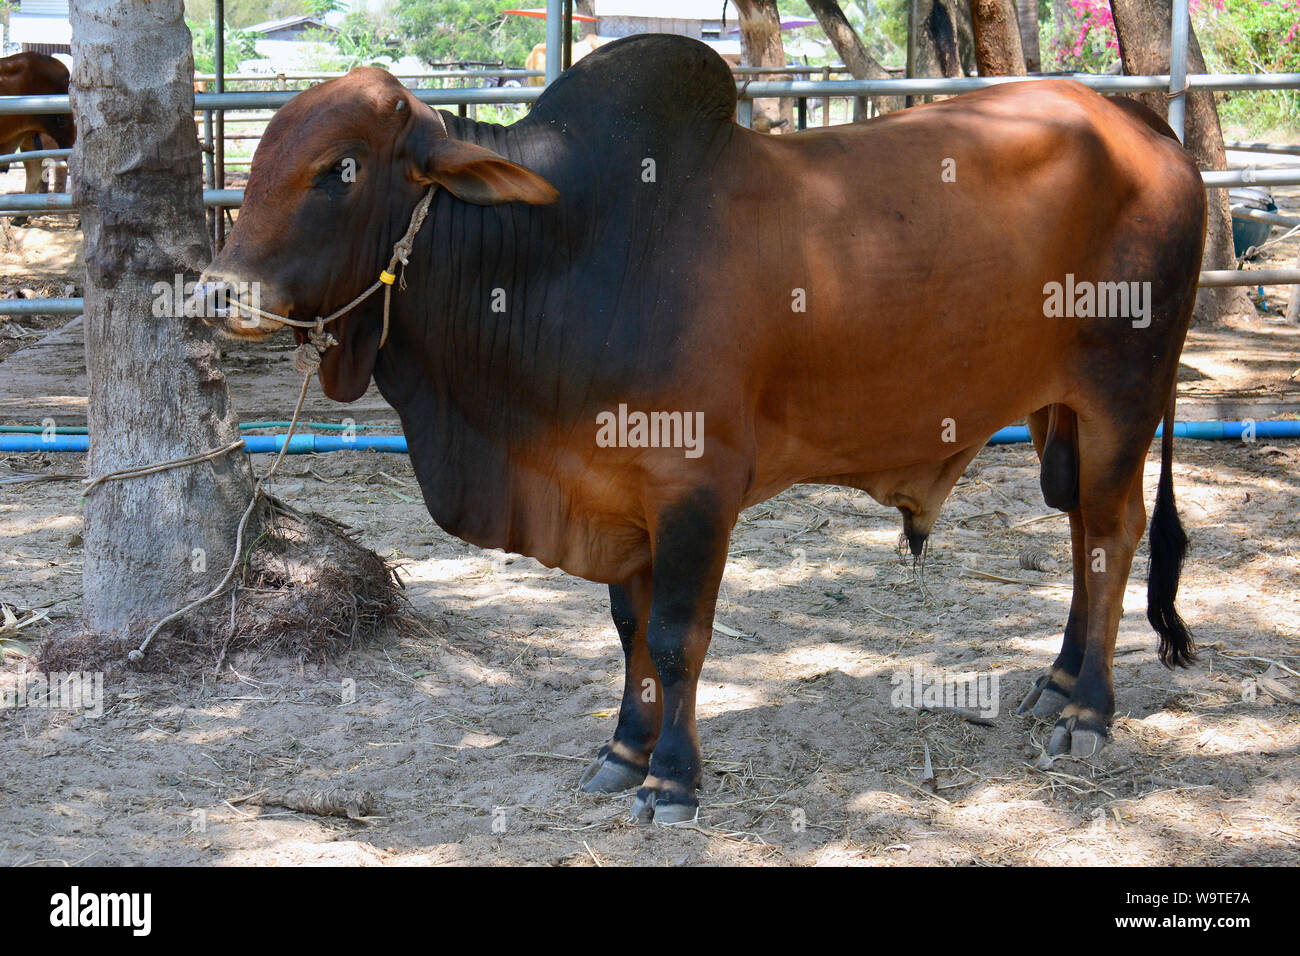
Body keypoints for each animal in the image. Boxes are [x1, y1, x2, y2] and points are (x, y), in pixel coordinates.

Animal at [202, 31, 1206, 822]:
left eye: (340, 168)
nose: (216, 291)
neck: (564, 250)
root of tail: (1143, 124)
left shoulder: (696, 486)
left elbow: (680, 634)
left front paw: (673, 782)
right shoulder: (616, 492)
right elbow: (630, 628)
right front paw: (622, 754)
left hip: (1123, 393)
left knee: (1114, 533)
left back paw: (1089, 711)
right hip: (1057, 411)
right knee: (1081, 534)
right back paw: (1058, 682)